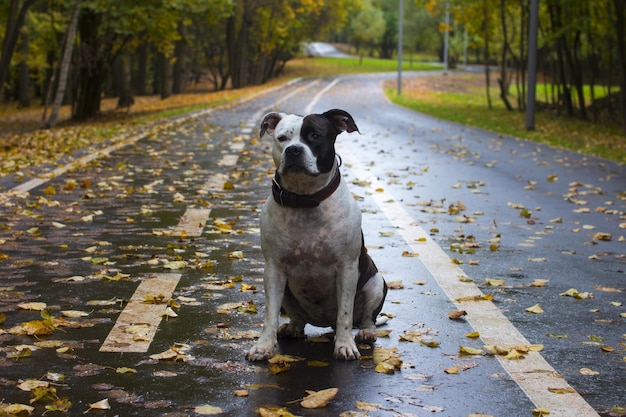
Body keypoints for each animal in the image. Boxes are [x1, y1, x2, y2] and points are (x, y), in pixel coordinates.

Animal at [245, 109, 386, 360]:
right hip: (287, 293)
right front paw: (263, 346)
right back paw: (292, 327)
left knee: (366, 318)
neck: (305, 199)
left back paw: (365, 333)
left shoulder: (347, 268)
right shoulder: (273, 268)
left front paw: (345, 345)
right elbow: (270, 314)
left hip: (376, 283)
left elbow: (345, 313)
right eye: (282, 138)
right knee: (297, 318)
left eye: (315, 136)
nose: (294, 149)